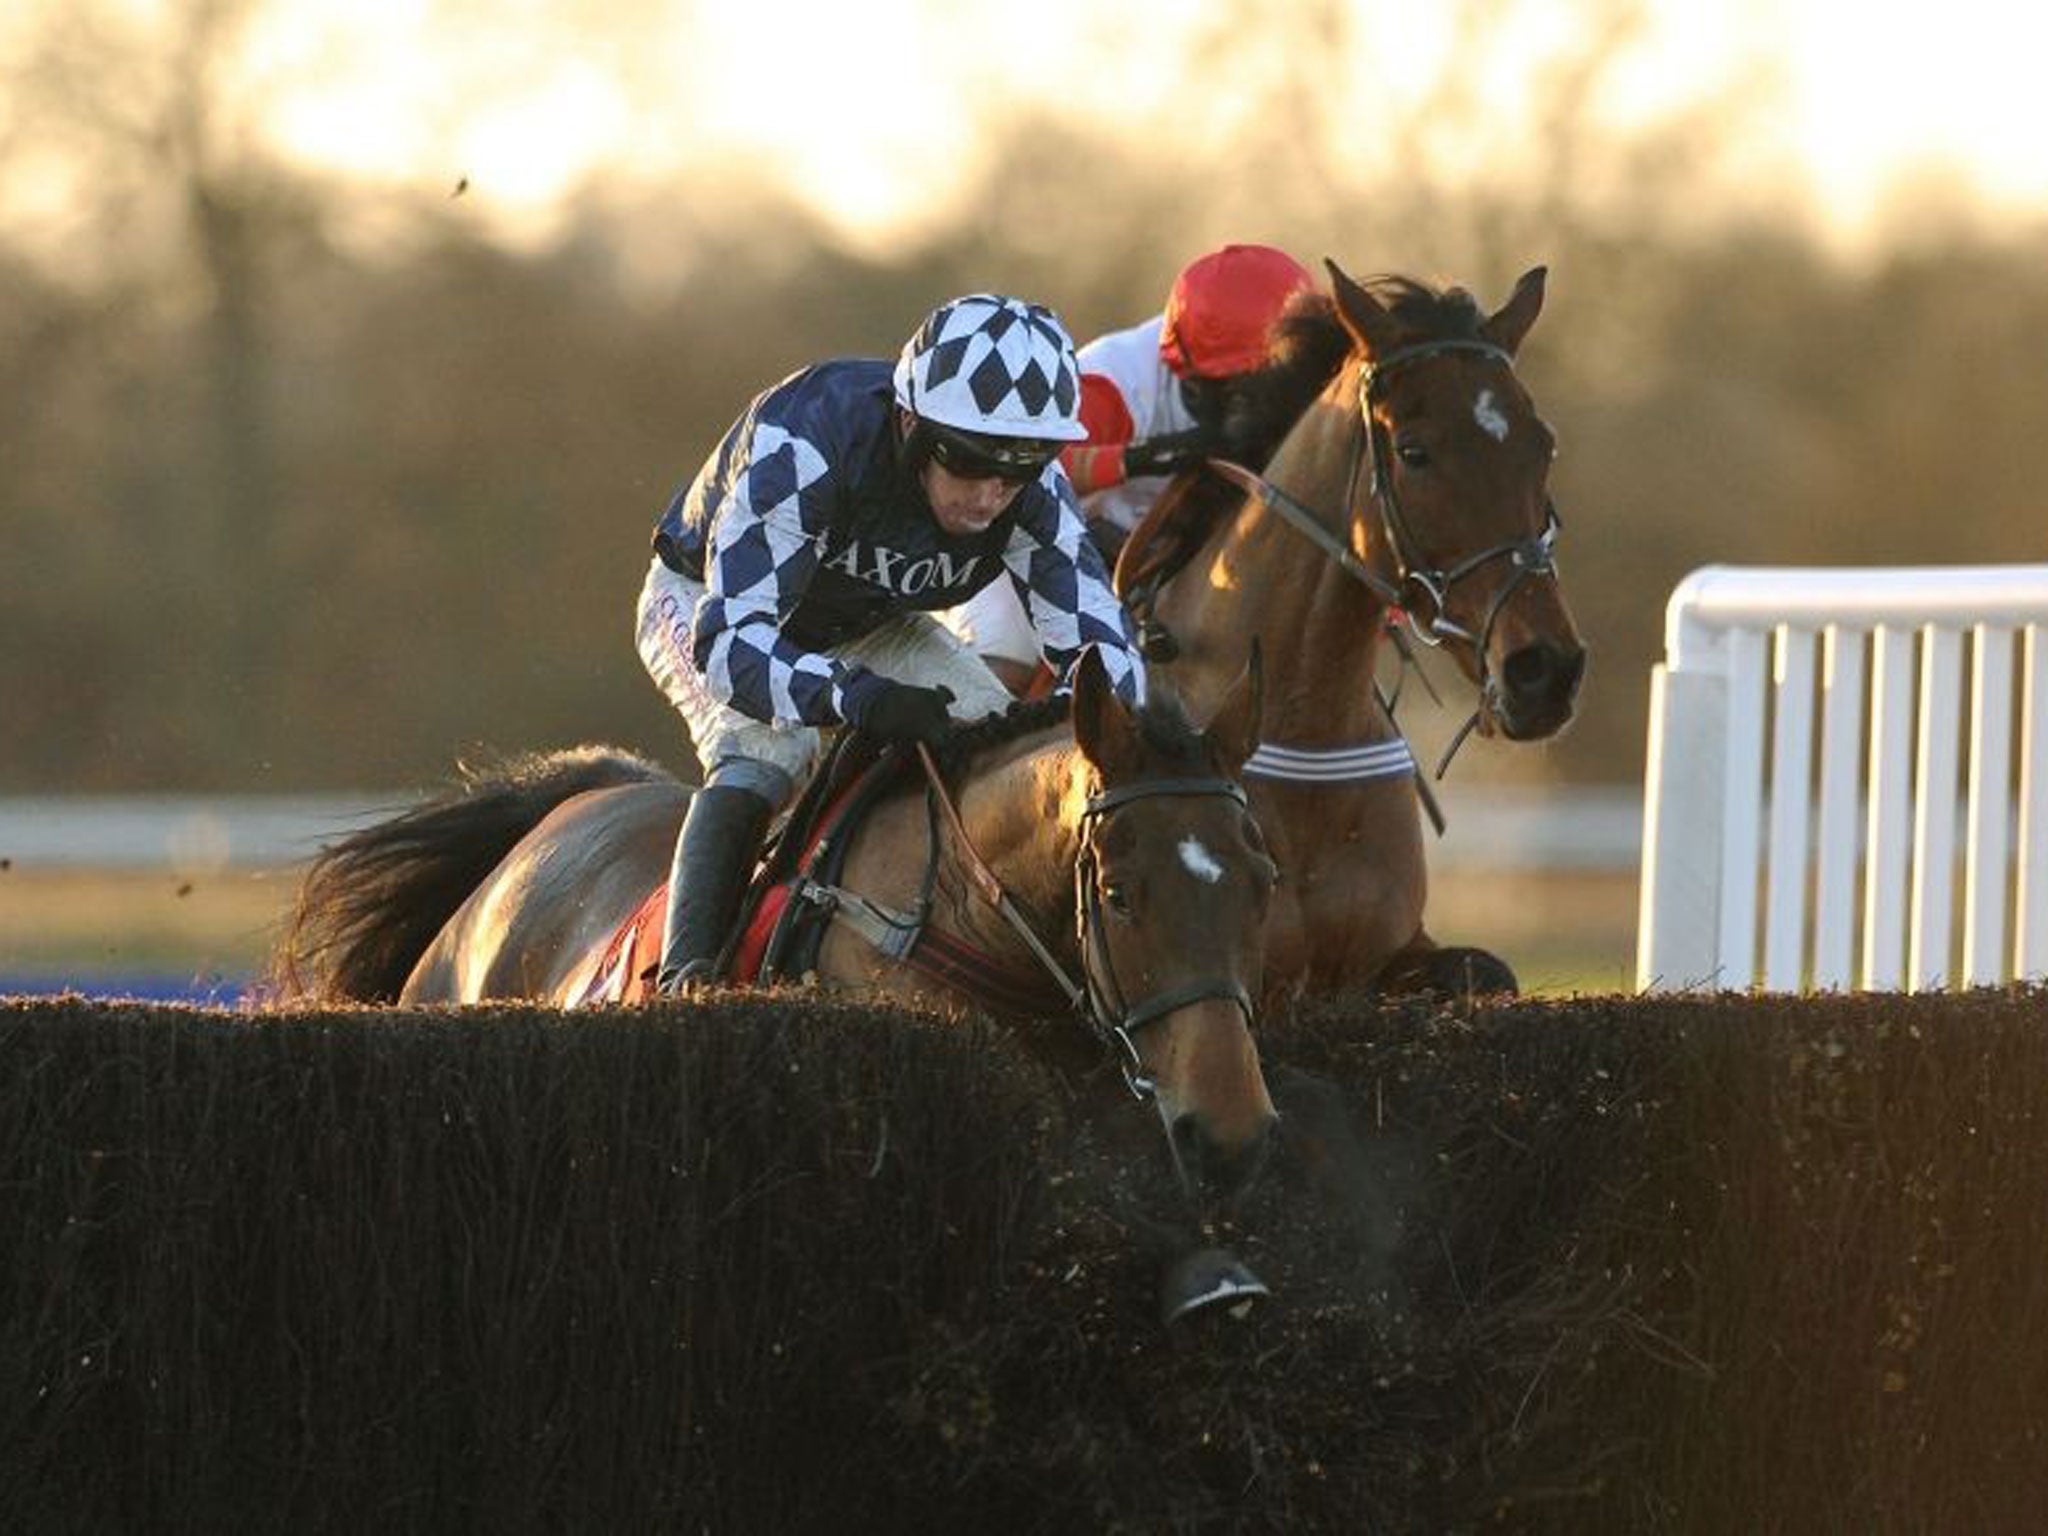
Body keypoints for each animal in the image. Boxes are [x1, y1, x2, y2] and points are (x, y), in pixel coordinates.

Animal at [1122, 262, 1581, 1011]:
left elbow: (1487, 971)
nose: (1545, 670)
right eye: (1414, 452)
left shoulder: (1389, 952)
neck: (1308, 726)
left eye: (1543, 444)